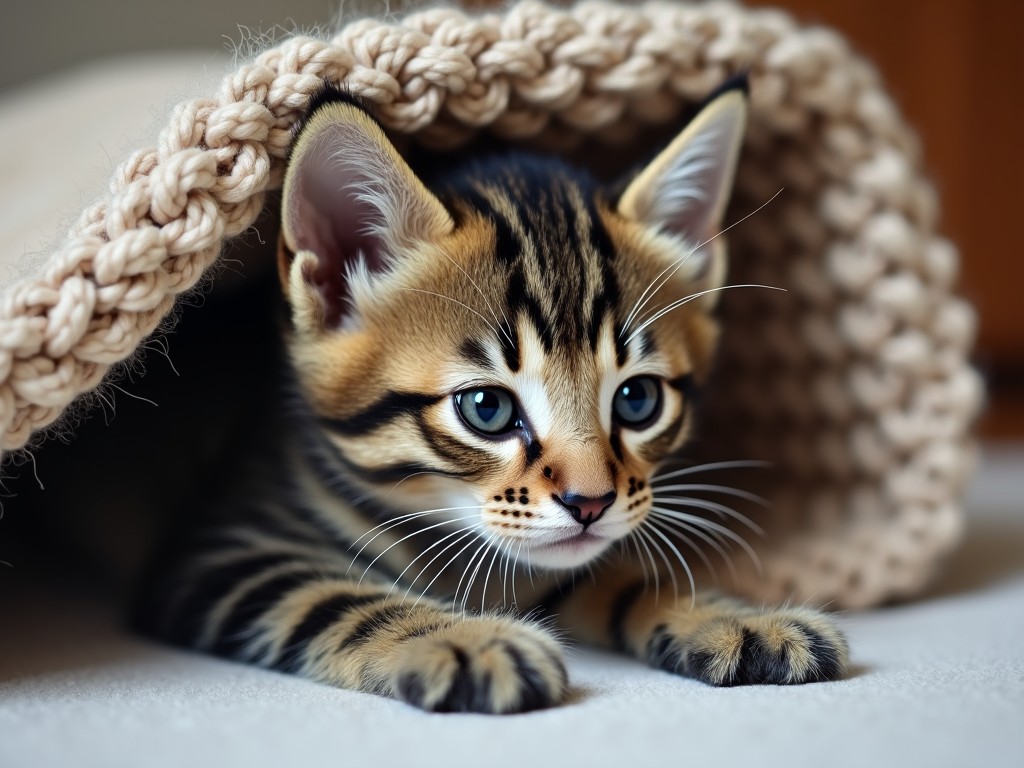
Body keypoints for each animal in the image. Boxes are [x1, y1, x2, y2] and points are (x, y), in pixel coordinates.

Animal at [140, 79, 851, 716]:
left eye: (637, 400)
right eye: (487, 409)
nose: (591, 503)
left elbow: (620, 573)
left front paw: (736, 617)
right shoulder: (225, 550)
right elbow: (332, 596)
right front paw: (465, 639)